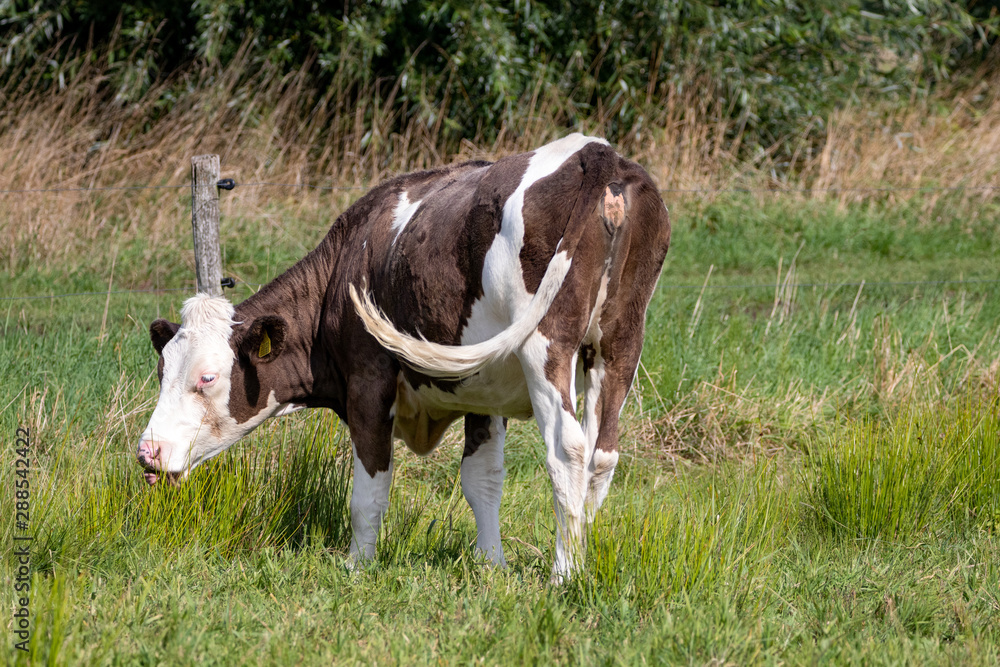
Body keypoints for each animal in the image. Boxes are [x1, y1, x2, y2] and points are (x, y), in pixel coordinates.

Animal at [139, 136, 672, 580]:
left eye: (207, 378)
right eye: (162, 370)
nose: (147, 450)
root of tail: (597, 153)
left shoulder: (369, 381)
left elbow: (369, 490)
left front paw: (357, 566)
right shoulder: (483, 392)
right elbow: (482, 480)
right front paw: (491, 565)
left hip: (546, 345)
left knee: (569, 448)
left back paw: (565, 573)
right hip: (620, 341)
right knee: (602, 453)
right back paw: (581, 552)